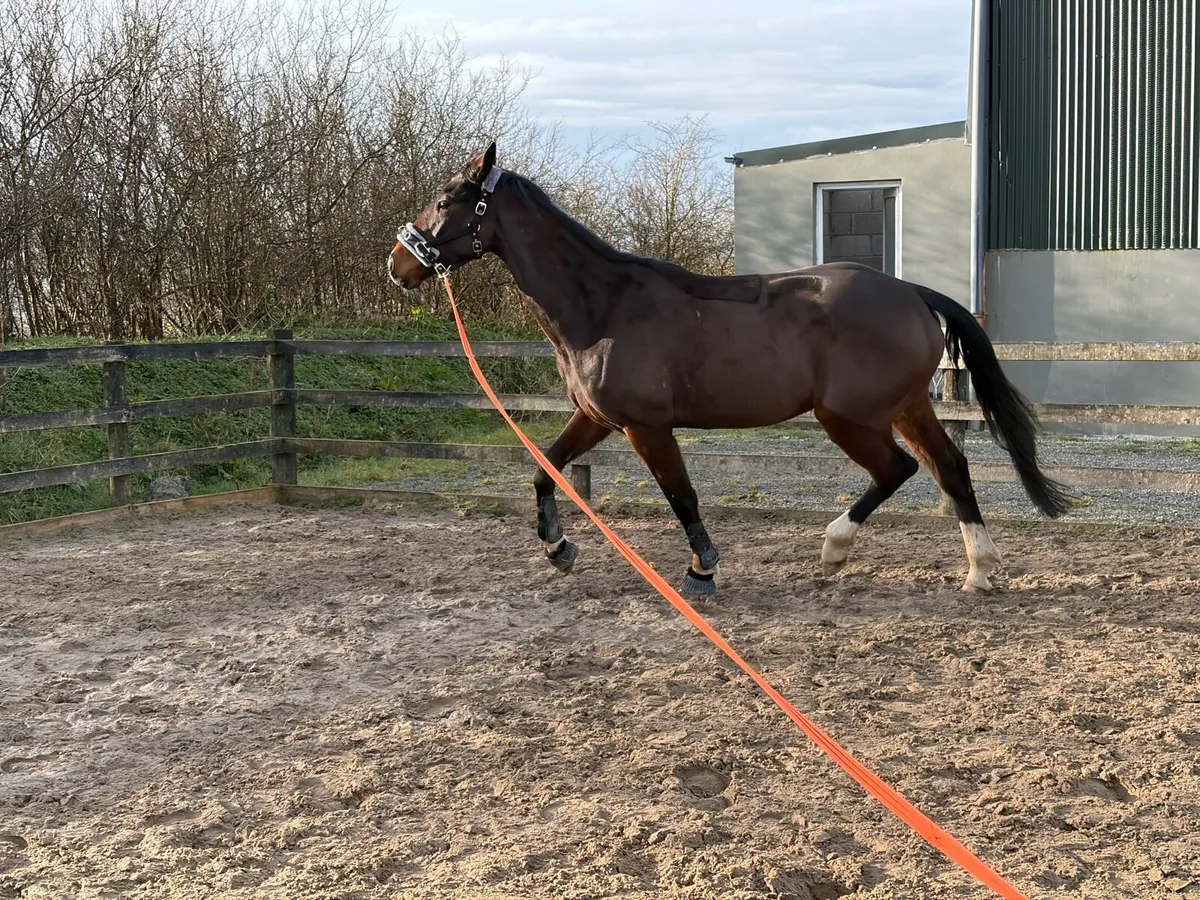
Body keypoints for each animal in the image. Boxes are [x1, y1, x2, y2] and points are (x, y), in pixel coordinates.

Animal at [387, 142, 1072, 596]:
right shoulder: (598, 417)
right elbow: (544, 470)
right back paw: (978, 570)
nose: (398, 263)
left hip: (849, 417)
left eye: (446, 199)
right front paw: (559, 548)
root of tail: (910, 292)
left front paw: (701, 570)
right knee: (948, 467)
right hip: (906, 406)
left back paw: (835, 548)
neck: (602, 304)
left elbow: (681, 494)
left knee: (898, 469)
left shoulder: (646, 426)